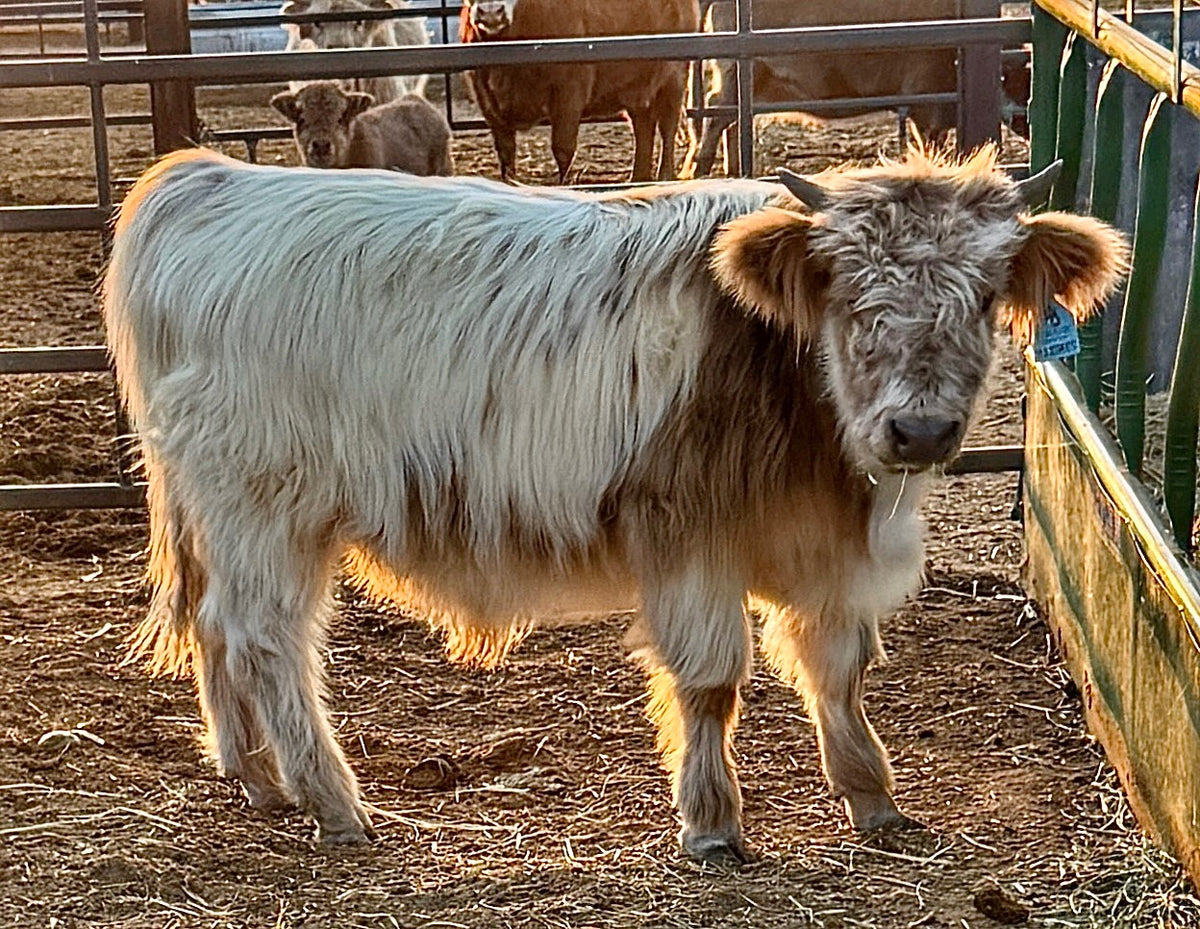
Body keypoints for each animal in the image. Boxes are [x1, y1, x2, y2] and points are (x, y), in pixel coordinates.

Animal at [103, 144, 1127, 861]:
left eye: (985, 295)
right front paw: (712, 823)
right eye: (851, 295)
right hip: (264, 504)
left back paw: (253, 774)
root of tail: (208, 180)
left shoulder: (824, 556)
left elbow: (837, 670)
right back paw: (332, 801)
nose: (918, 431)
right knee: (267, 638)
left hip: (219, 510)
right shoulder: (688, 532)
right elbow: (712, 680)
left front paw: (872, 796)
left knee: (213, 624)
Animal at [459, 0, 699, 183]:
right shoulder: (487, 100)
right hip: (637, 88)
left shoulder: (570, 90)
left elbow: (563, 148)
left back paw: (665, 176)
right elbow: (506, 152)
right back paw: (638, 178)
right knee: (643, 127)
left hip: (674, 77)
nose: (491, 12)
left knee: (667, 126)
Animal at [684, 0, 1028, 178]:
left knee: (730, 118)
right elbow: (930, 145)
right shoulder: (926, 105)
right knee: (716, 112)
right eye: (1011, 80)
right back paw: (699, 171)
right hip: (737, 71)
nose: (1028, 124)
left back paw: (733, 170)